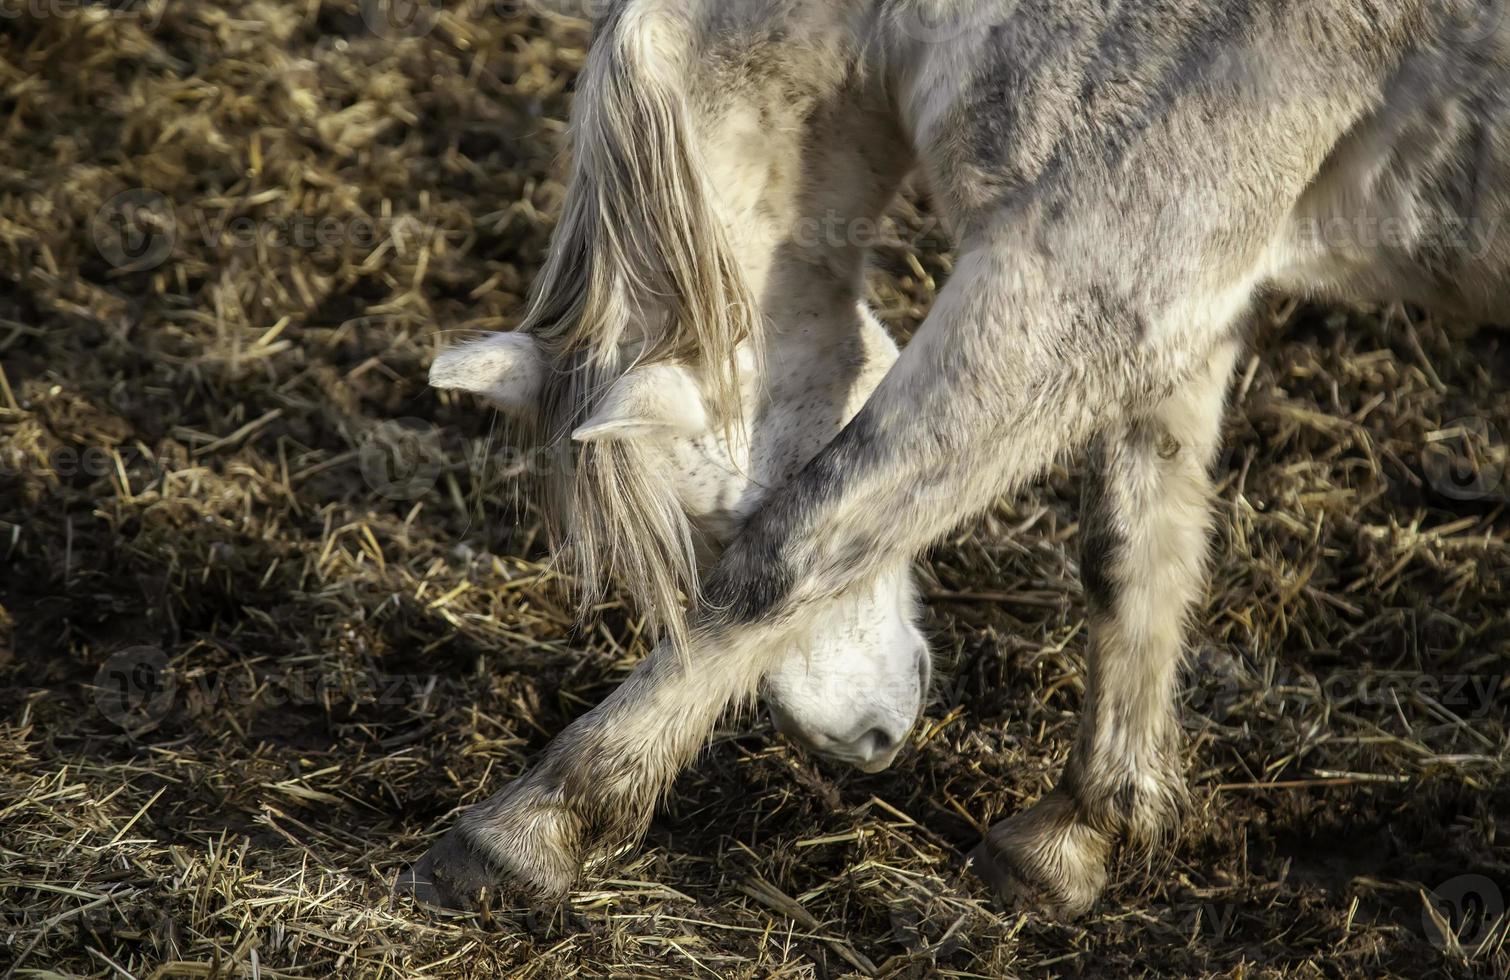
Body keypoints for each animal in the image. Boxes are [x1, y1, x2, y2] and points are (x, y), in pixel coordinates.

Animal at [398, 0, 1510, 918]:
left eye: (717, 529)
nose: (866, 738)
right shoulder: (1171, 306)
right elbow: (1130, 555)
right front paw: (1076, 836)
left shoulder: (1076, 280)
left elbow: (804, 542)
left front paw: (529, 829)